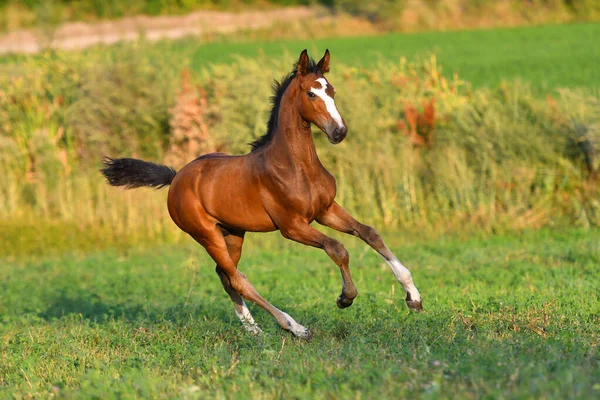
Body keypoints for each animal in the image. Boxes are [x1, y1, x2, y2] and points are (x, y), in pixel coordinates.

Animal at [102, 49, 422, 338]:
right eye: (311, 94)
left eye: (331, 90)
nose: (339, 132)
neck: (296, 166)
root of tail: (177, 177)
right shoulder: (292, 226)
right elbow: (337, 248)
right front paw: (345, 298)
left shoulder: (326, 210)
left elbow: (369, 233)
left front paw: (413, 297)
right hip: (205, 234)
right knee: (238, 279)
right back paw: (294, 327)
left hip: (233, 233)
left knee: (225, 276)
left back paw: (253, 329)